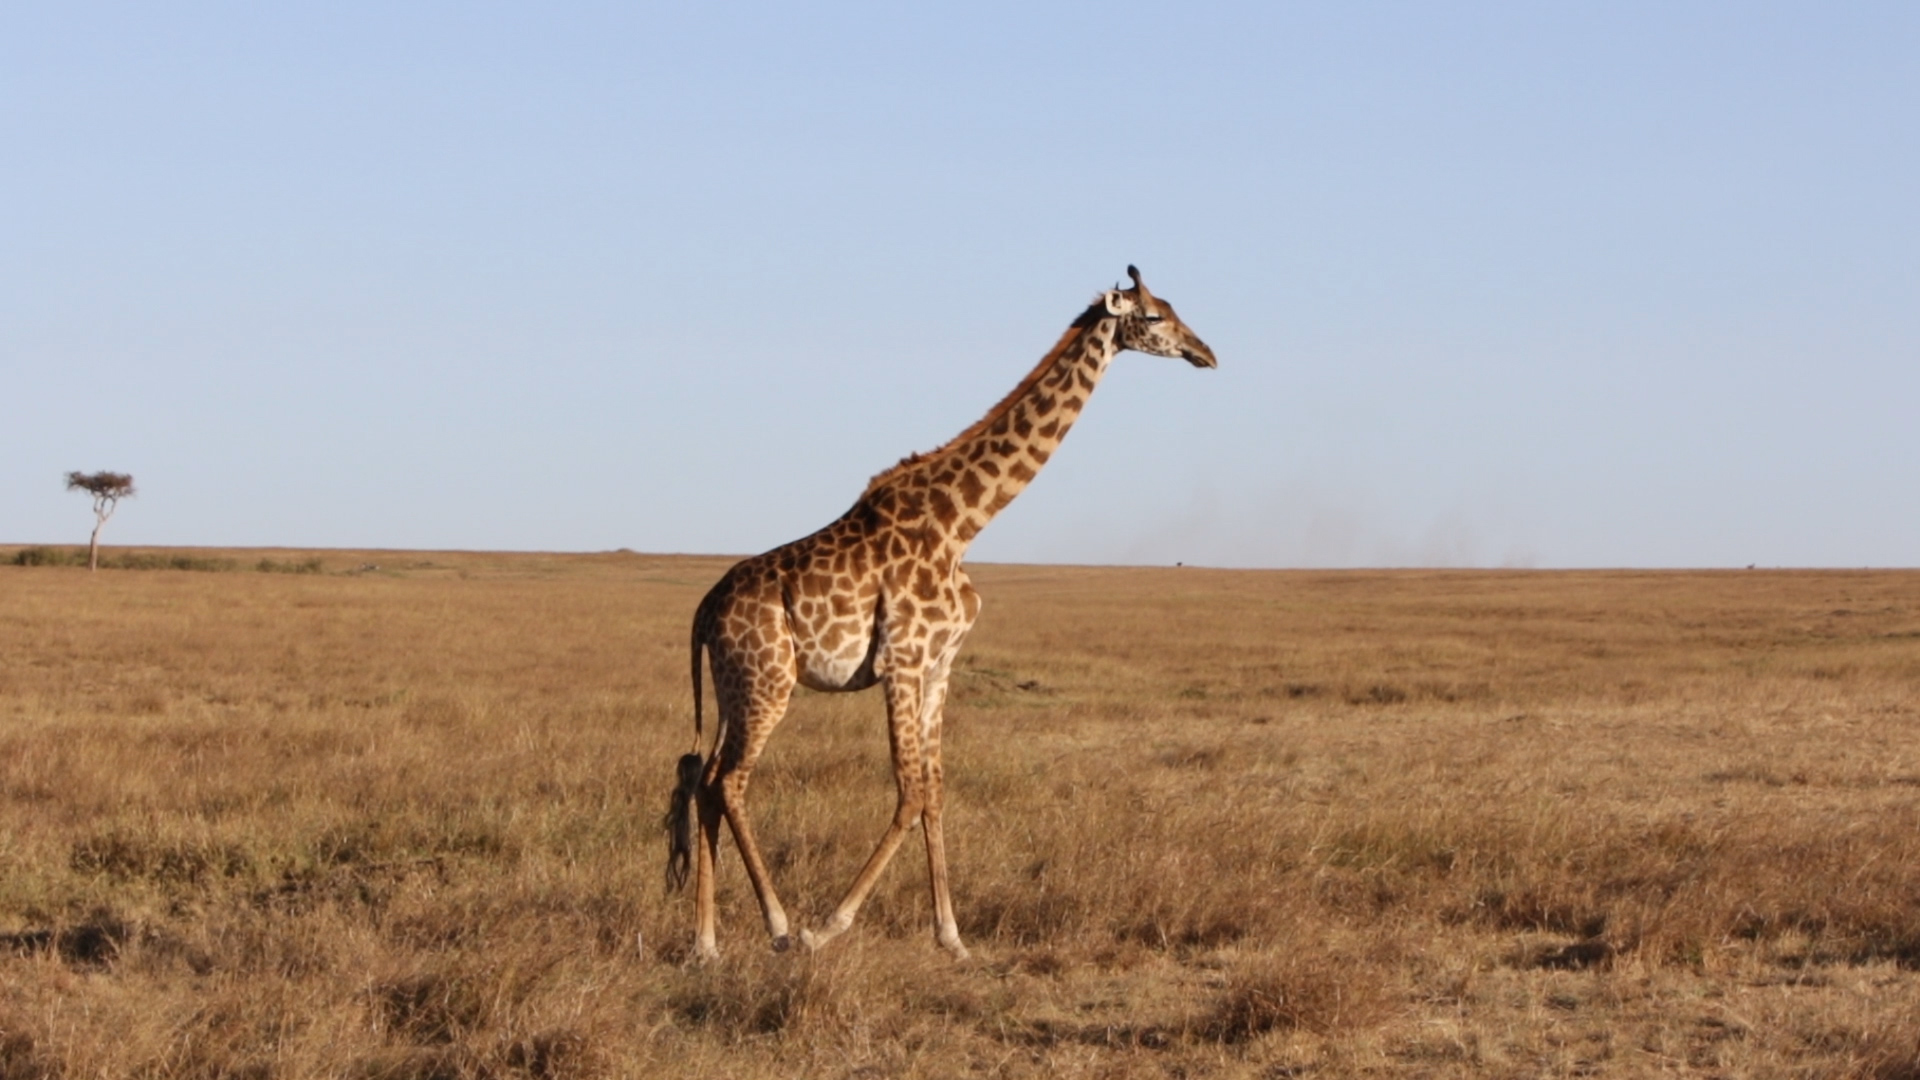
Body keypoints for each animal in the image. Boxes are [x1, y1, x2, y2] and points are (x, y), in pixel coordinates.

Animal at [668, 265, 1221, 953]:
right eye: (1151, 316)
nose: (1206, 353)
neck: (963, 523)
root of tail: (705, 608)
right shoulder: (902, 661)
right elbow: (908, 793)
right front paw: (828, 927)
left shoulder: (939, 666)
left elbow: (933, 792)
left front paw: (951, 936)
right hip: (769, 679)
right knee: (729, 781)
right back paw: (779, 925)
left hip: (734, 683)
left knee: (705, 780)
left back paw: (705, 945)